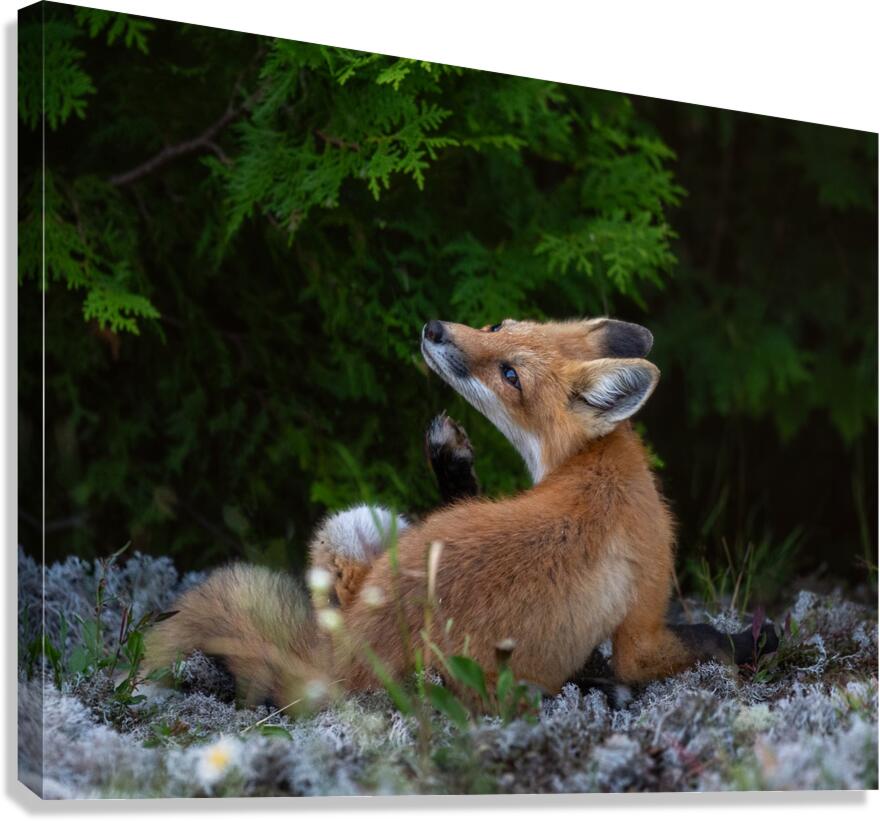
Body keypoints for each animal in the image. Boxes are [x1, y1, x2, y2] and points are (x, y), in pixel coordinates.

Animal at [145, 316, 776, 708]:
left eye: (511, 374)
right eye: (497, 328)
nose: (434, 328)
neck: (597, 464)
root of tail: (339, 665)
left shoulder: (641, 636)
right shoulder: (641, 637)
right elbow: (707, 639)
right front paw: (755, 642)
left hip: (364, 526)